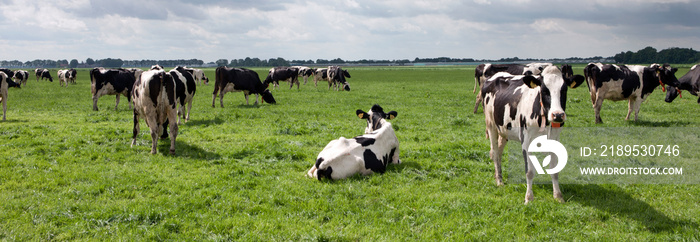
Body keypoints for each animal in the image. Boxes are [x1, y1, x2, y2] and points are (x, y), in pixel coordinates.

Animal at [482, 65, 584, 204]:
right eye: (544, 90)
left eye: (564, 90)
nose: (558, 115)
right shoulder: (526, 140)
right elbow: (529, 171)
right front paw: (529, 198)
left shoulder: (555, 139)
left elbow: (555, 170)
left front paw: (558, 196)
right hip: (491, 124)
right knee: (495, 152)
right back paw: (499, 181)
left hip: (503, 129)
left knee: (498, 152)